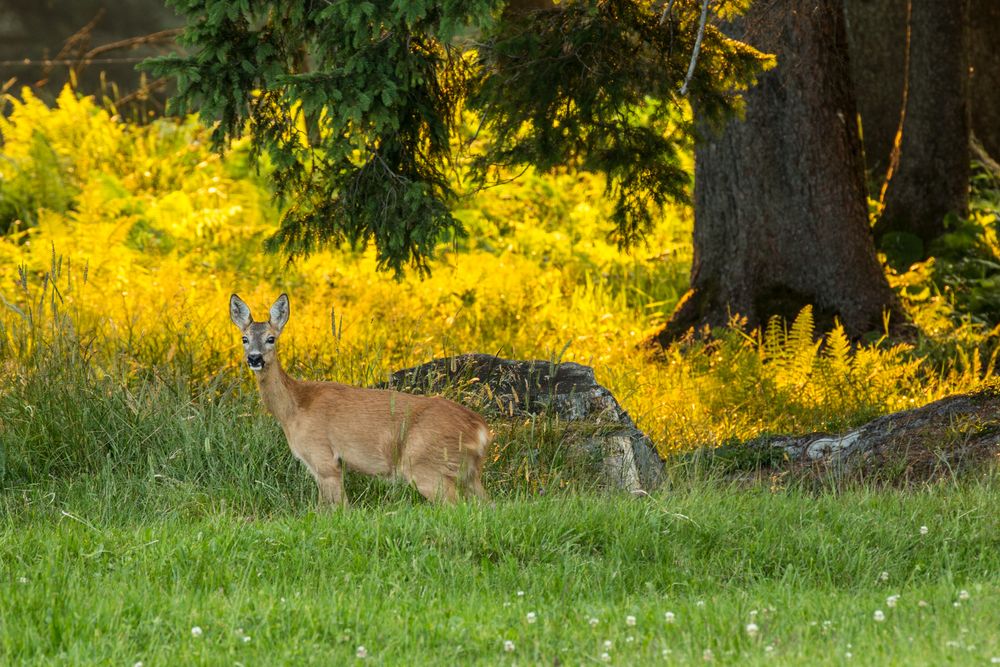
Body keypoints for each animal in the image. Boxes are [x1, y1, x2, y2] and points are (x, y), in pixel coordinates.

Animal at [228, 294, 492, 506]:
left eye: (271, 338)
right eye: (244, 338)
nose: (254, 358)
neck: (295, 407)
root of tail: (480, 429)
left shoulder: (323, 458)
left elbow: (339, 509)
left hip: (426, 465)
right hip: (468, 472)